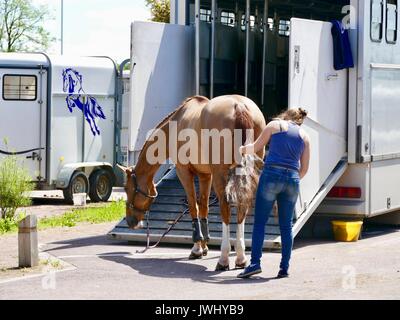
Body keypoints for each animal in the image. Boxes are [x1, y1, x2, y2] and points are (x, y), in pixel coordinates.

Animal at [119, 95, 268, 270]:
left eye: (127, 188)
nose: (130, 221)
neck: (176, 123)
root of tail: (239, 107)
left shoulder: (184, 172)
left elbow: (193, 206)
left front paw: (196, 248)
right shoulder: (205, 175)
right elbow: (203, 207)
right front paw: (204, 247)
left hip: (221, 174)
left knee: (225, 208)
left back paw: (224, 259)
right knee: (242, 207)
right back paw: (241, 257)